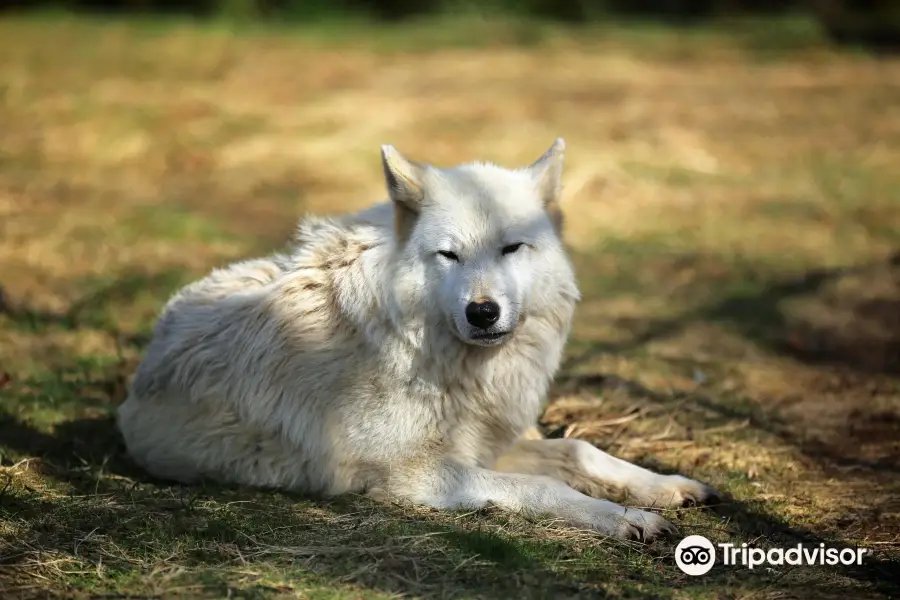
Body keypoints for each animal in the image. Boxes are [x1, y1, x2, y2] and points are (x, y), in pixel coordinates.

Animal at [116, 139, 720, 540]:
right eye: (448, 255)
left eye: (511, 248)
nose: (482, 312)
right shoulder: (419, 476)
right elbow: (546, 489)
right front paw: (630, 520)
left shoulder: (486, 444)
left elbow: (580, 449)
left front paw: (667, 485)